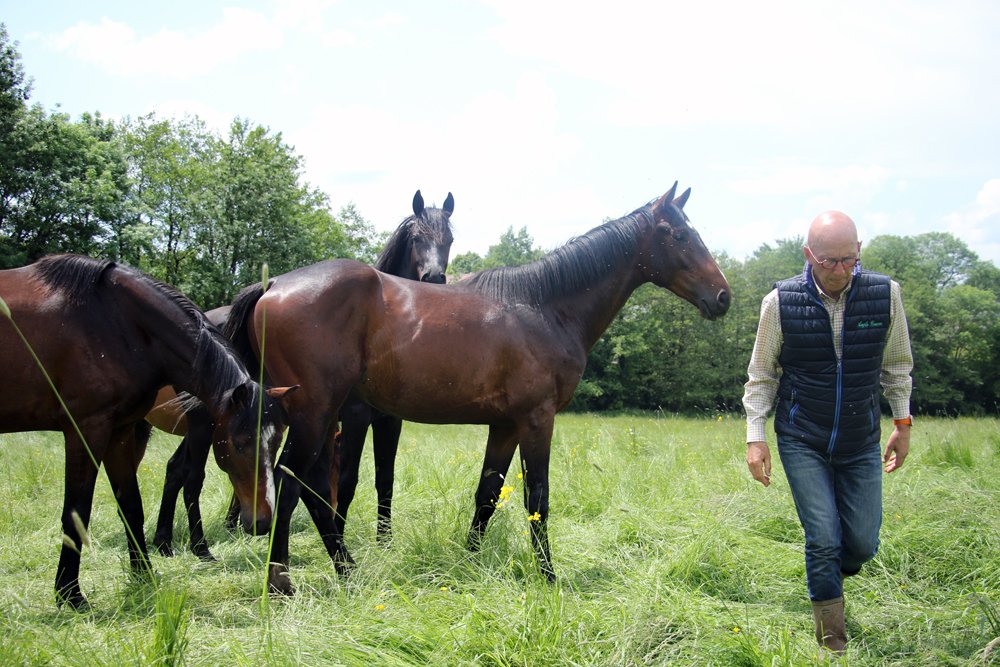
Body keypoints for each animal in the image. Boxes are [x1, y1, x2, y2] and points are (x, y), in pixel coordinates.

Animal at [0, 254, 293, 609]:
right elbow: (78, 509)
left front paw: (144, 574)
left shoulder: (120, 430)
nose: (263, 522)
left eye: (276, 442)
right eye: (240, 443)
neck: (116, 321)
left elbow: (131, 504)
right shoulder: (87, 429)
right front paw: (70, 594)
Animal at [146, 190, 455, 558]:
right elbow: (348, 480)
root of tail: (271, 286)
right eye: (418, 238)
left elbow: (385, 478)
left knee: (178, 470)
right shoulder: (354, 419)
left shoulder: (388, 422)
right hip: (208, 426)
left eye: (449, 240)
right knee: (191, 475)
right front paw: (341, 533)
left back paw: (167, 540)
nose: (434, 278)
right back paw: (199, 546)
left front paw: (384, 541)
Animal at [217, 181, 730, 595]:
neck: (543, 306)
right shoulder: (536, 420)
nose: (723, 297)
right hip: (315, 413)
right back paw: (281, 582)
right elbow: (537, 497)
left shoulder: (504, 425)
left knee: (315, 490)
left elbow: (487, 493)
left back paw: (347, 571)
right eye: (680, 235)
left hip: (326, 419)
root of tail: (273, 285)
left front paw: (469, 562)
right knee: (290, 484)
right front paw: (548, 577)